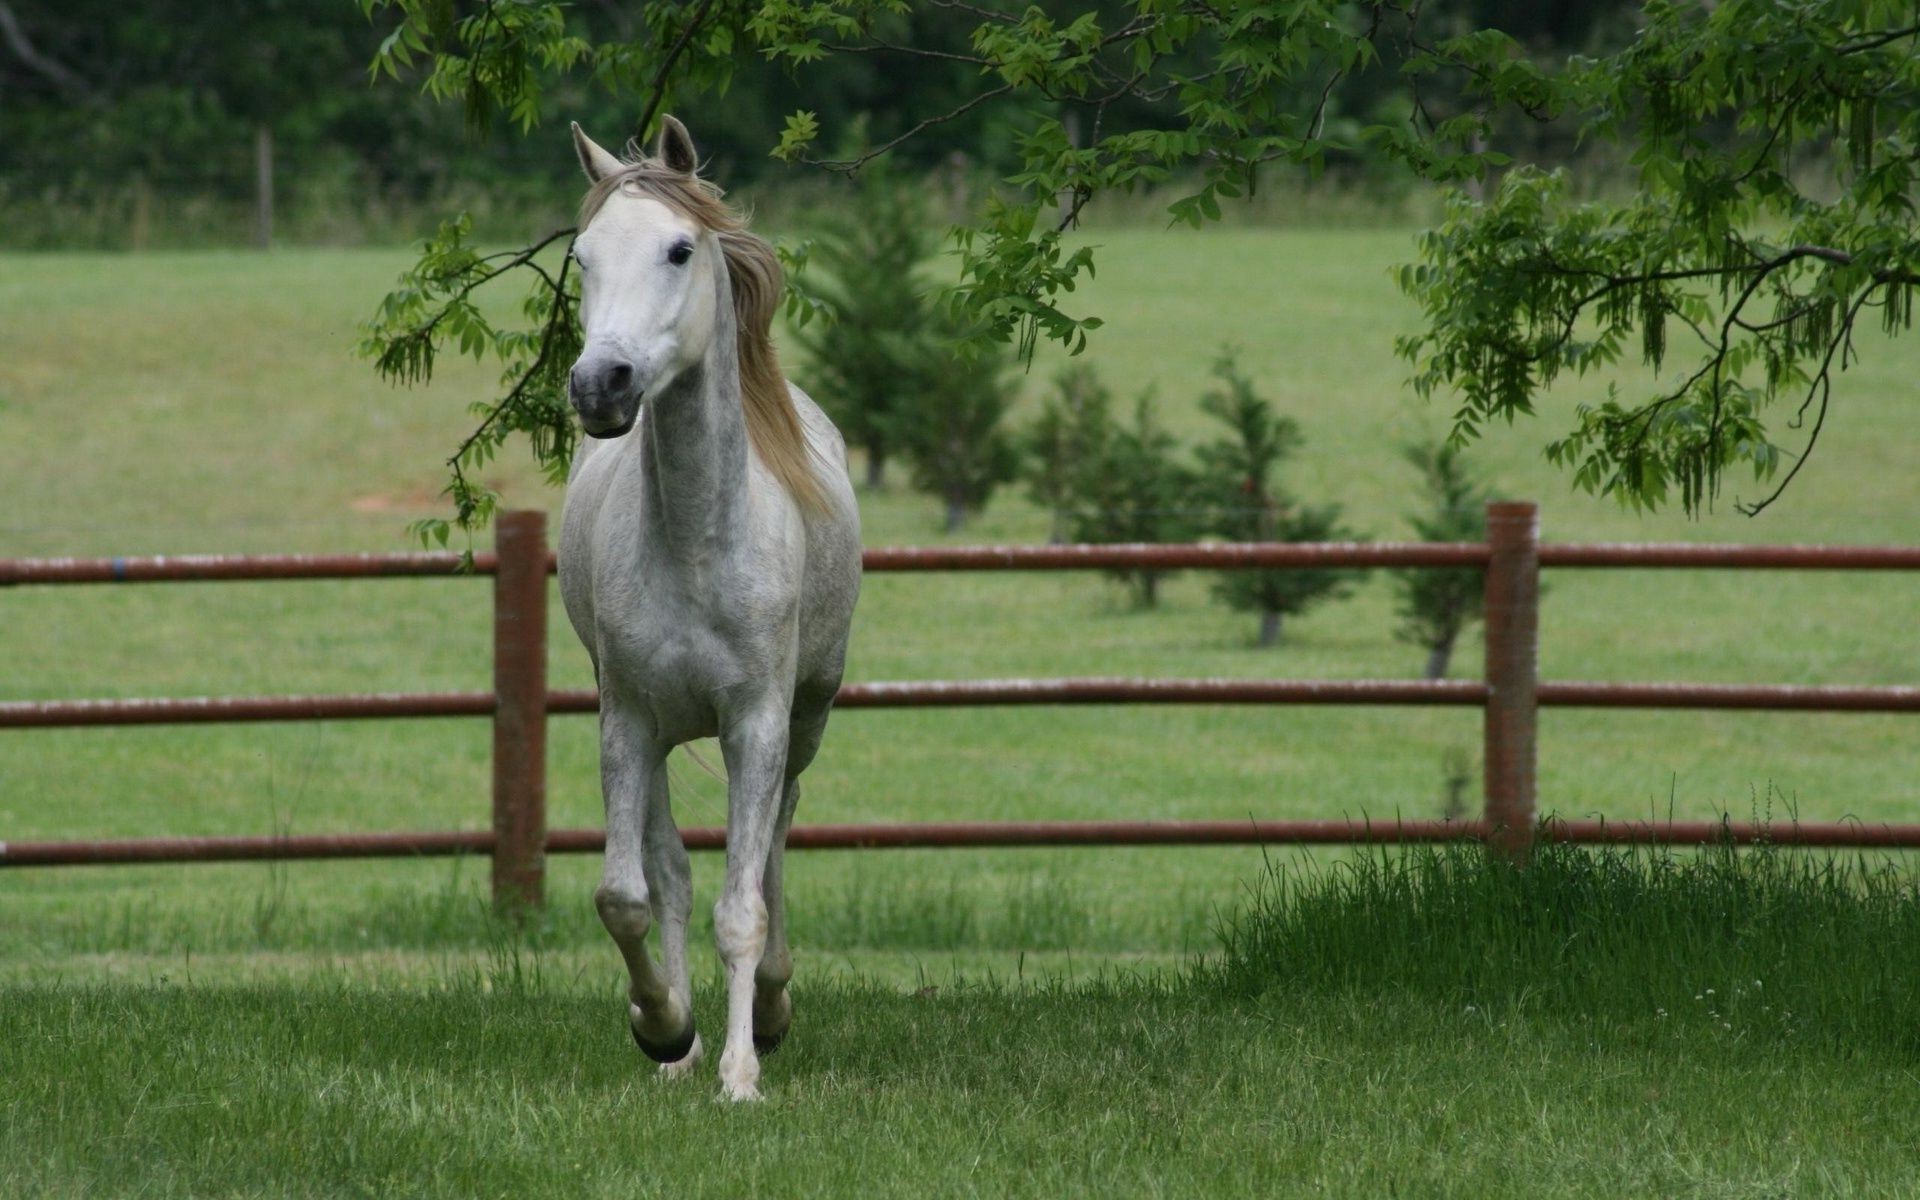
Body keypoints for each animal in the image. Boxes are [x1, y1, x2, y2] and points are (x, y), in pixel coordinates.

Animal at [552, 117, 860, 1098]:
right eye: (582, 257)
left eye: (679, 249)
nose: (601, 385)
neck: (695, 544)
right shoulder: (626, 721)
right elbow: (631, 894)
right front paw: (663, 1029)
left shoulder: (755, 723)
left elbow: (743, 905)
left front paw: (741, 1074)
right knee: (674, 875)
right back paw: (682, 1049)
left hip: (805, 722)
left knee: (774, 853)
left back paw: (771, 1008)